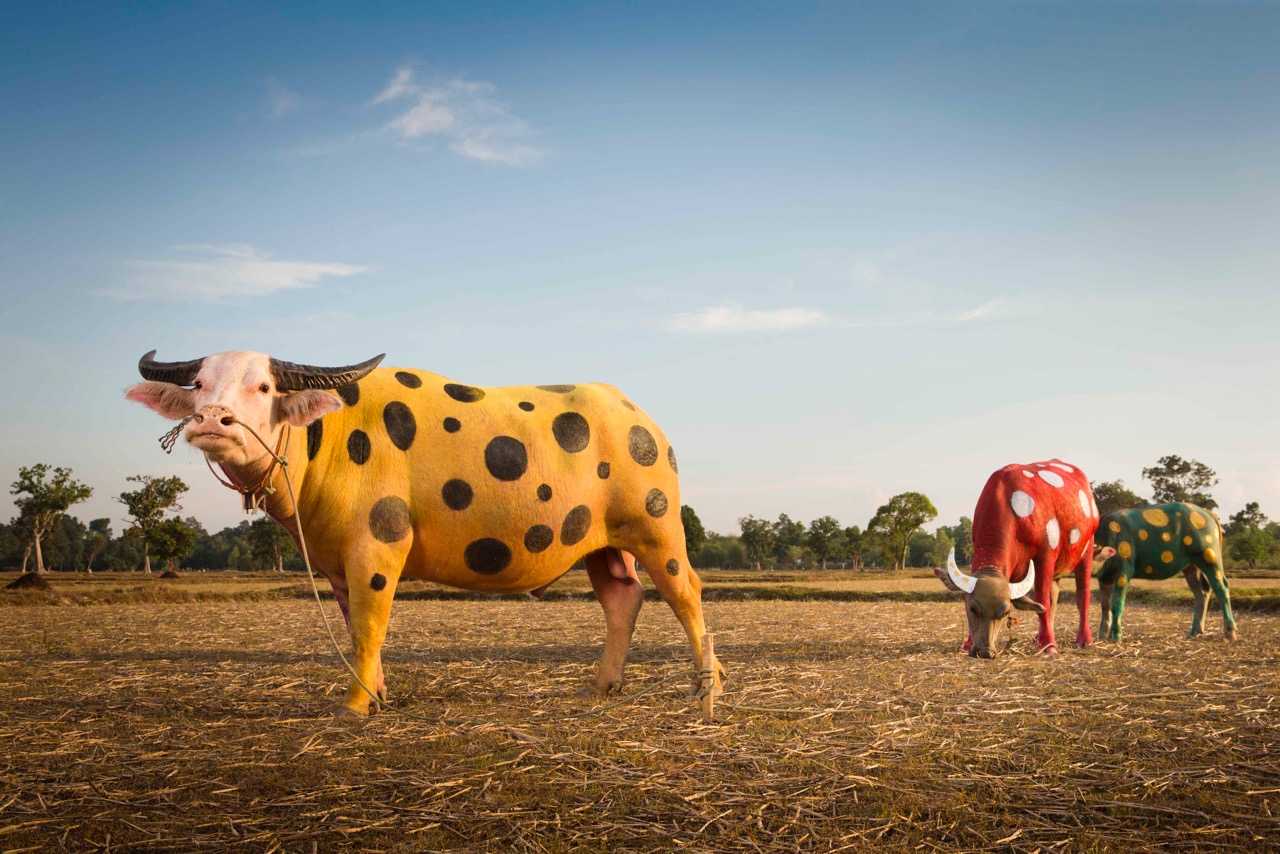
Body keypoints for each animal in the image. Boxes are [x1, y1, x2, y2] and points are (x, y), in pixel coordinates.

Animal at [967, 460, 1100, 655]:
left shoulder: (1045, 555)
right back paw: (1040, 638)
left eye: (1005, 613)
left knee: (1082, 594)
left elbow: (1042, 600)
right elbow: (1046, 603)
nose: (984, 652)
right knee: (1054, 596)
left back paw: (1084, 640)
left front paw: (1049, 646)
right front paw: (966, 644)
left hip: (1087, 549)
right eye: (972, 609)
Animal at [1090, 501, 1239, 640]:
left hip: (1210, 556)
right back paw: (1195, 632)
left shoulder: (1124, 571)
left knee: (1222, 587)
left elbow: (1117, 603)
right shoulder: (1104, 578)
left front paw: (1115, 638)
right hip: (1191, 566)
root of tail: (1210, 514)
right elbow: (1105, 605)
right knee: (1202, 592)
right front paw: (1101, 636)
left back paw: (1230, 633)